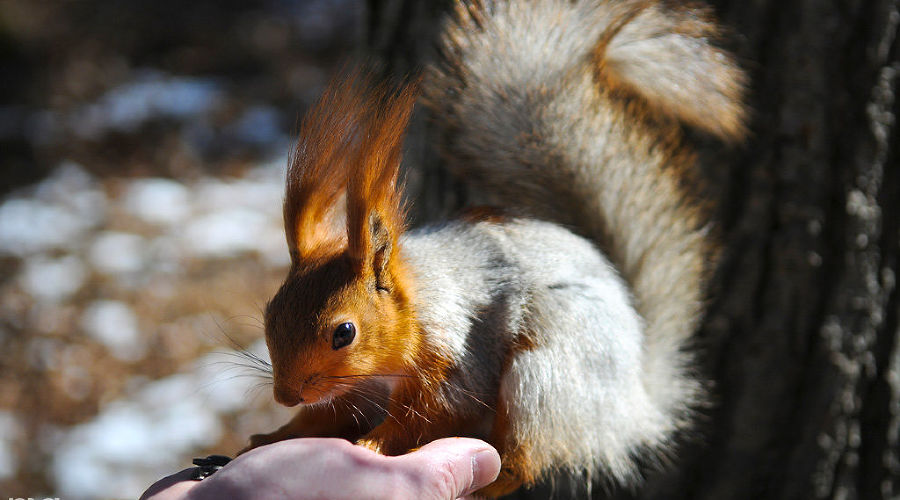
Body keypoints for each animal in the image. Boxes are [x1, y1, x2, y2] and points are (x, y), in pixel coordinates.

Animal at [241, 0, 744, 496]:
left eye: (343, 332)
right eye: (269, 314)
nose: (284, 396)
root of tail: (632, 407)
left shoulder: (457, 355)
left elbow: (438, 412)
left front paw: (371, 445)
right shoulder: (354, 389)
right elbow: (329, 415)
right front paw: (274, 436)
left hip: (543, 381)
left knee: (526, 462)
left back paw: (489, 482)